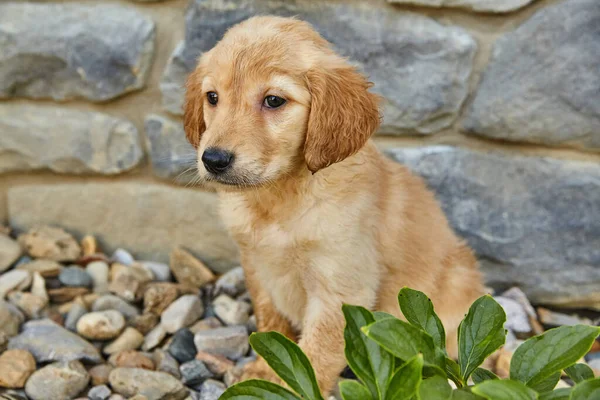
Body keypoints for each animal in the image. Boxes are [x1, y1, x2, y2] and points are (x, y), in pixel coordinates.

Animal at [183, 14, 482, 394]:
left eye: (274, 100)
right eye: (213, 97)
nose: (214, 160)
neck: (280, 197)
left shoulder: (340, 287)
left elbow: (317, 353)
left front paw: (288, 384)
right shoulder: (256, 265)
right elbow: (271, 319)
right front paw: (266, 365)